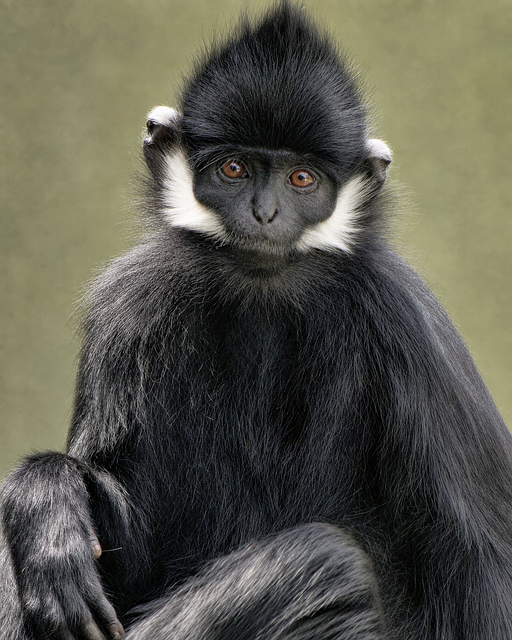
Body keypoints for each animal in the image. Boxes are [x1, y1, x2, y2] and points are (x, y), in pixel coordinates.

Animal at [2, 2, 512, 639]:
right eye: (234, 169)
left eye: (301, 179)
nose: (264, 212)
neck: (261, 292)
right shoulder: (132, 306)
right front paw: (46, 501)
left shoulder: (403, 321)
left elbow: (483, 568)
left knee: (328, 561)